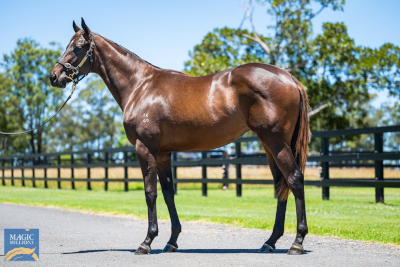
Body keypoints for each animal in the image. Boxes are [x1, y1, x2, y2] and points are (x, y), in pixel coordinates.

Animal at [50, 17, 310, 256]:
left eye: (78, 47)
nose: (54, 76)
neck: (140, 86)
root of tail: (289, 78)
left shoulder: (145, 148)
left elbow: (150, 193)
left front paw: (146, 242)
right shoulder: (163, 153)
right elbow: (168, 193)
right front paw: (171, 241)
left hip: (276, 143)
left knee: (294, 179)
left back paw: (296, 243)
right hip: (269, 145)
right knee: (281, 184)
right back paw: (270, 241)